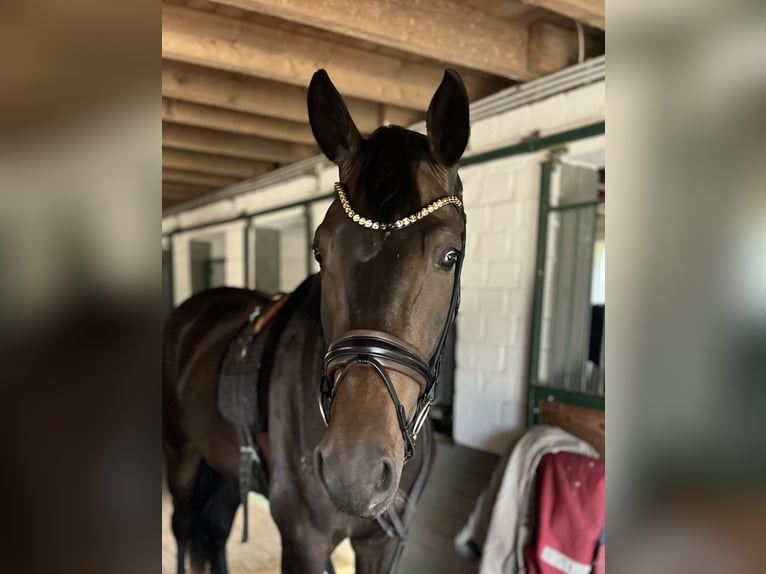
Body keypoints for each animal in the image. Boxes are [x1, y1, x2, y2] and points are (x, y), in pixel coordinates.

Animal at [162, 67, 471, 574]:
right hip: (182, 458)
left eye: (450, 256)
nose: (353, 470)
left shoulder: (381, 545)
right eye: (320, 250)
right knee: (186, 529)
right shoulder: (303, 540)